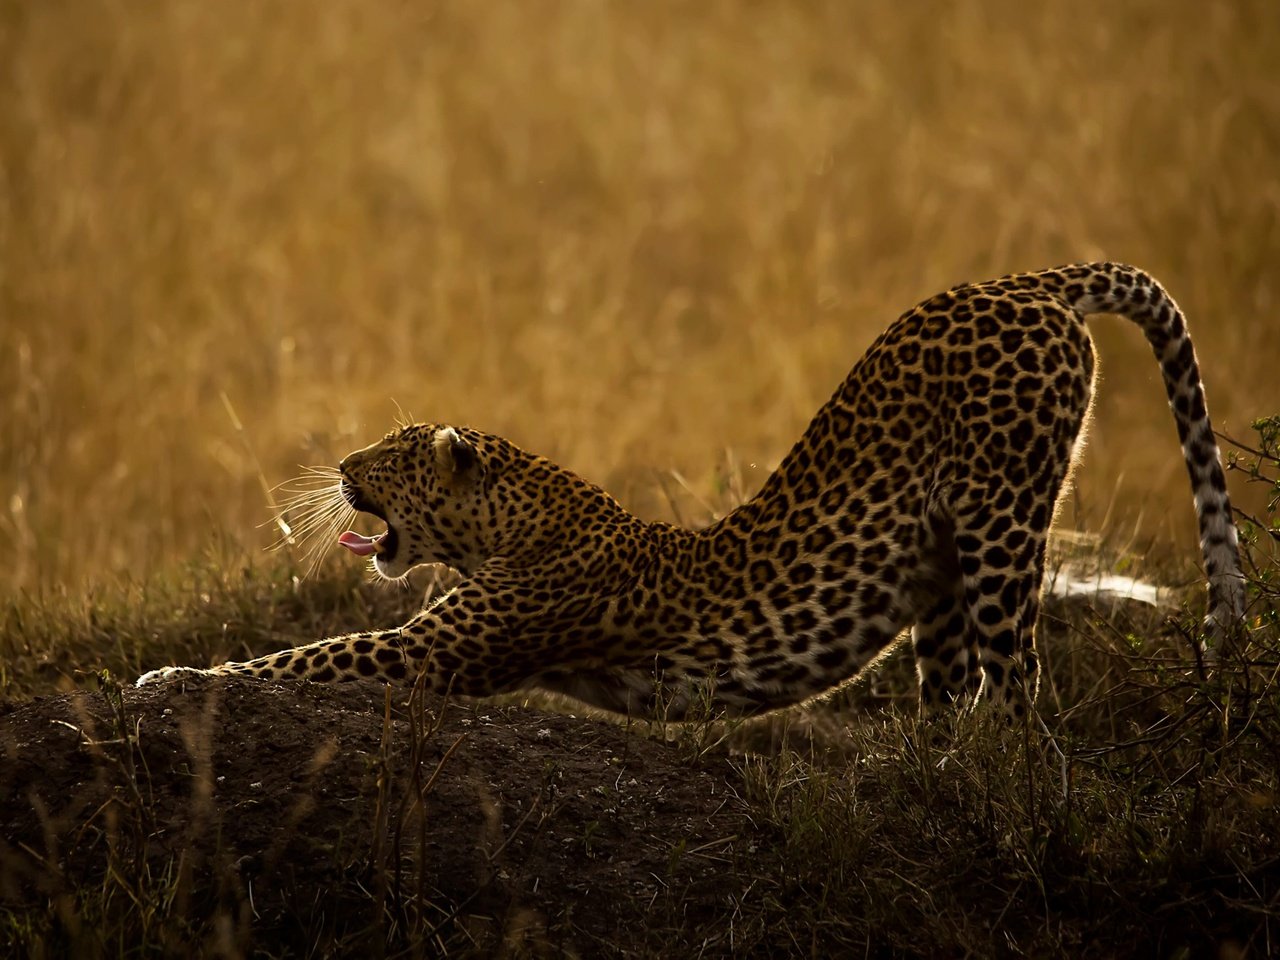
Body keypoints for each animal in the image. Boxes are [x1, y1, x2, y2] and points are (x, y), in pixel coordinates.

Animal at [135, 259, 1244, 727]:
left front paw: (171, 680)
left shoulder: (436, 650)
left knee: (1017, 681)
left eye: (396, 453)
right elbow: (307, 654)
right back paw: (924, 771)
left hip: (1003, 517)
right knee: (954, 680)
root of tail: (1028, 284)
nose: (341, 469)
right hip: (938, 561)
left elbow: (302, 657)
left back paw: (995, 771)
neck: (510, 520)